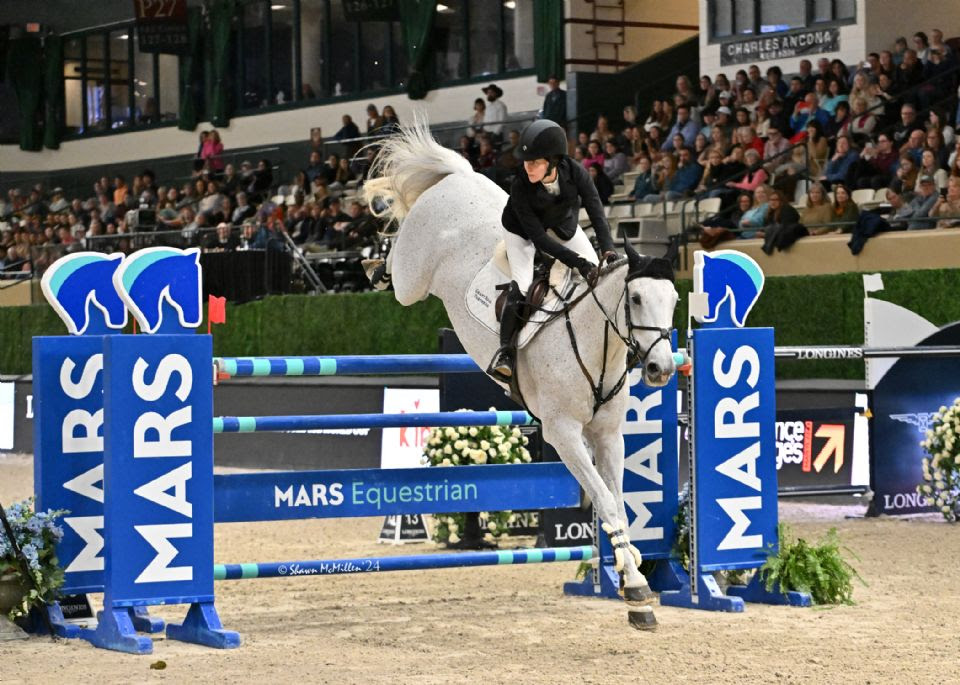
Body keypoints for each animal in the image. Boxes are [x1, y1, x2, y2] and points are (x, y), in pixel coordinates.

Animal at [362, 120, 679, 630]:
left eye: (673, 300)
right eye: (634, 299)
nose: (661, 369)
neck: (596, 342)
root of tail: (459, 178)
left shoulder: (607, 434)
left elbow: (619, 506)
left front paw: (633, 582)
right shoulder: (563, 433)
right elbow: (605, 502)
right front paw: (635, 591)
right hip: (414, 278)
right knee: (398, 265)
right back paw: (374, 261)